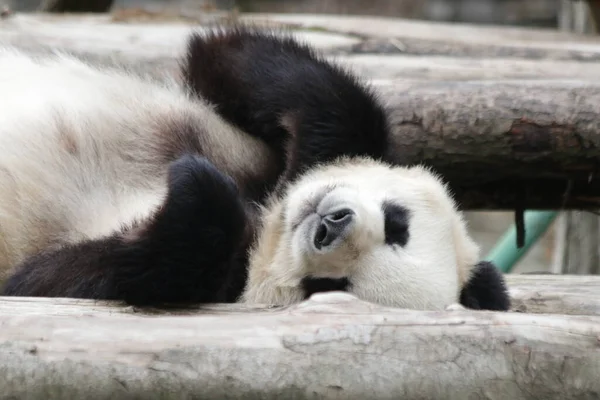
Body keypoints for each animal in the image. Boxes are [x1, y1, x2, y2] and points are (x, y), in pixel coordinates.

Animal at [0, 26, 510, 310]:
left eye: (328, 286)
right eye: (396, 224)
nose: (330, 225)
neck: (265, 221)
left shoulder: (215, 284)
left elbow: (46, 280)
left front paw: (197, 186)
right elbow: (239, 58)